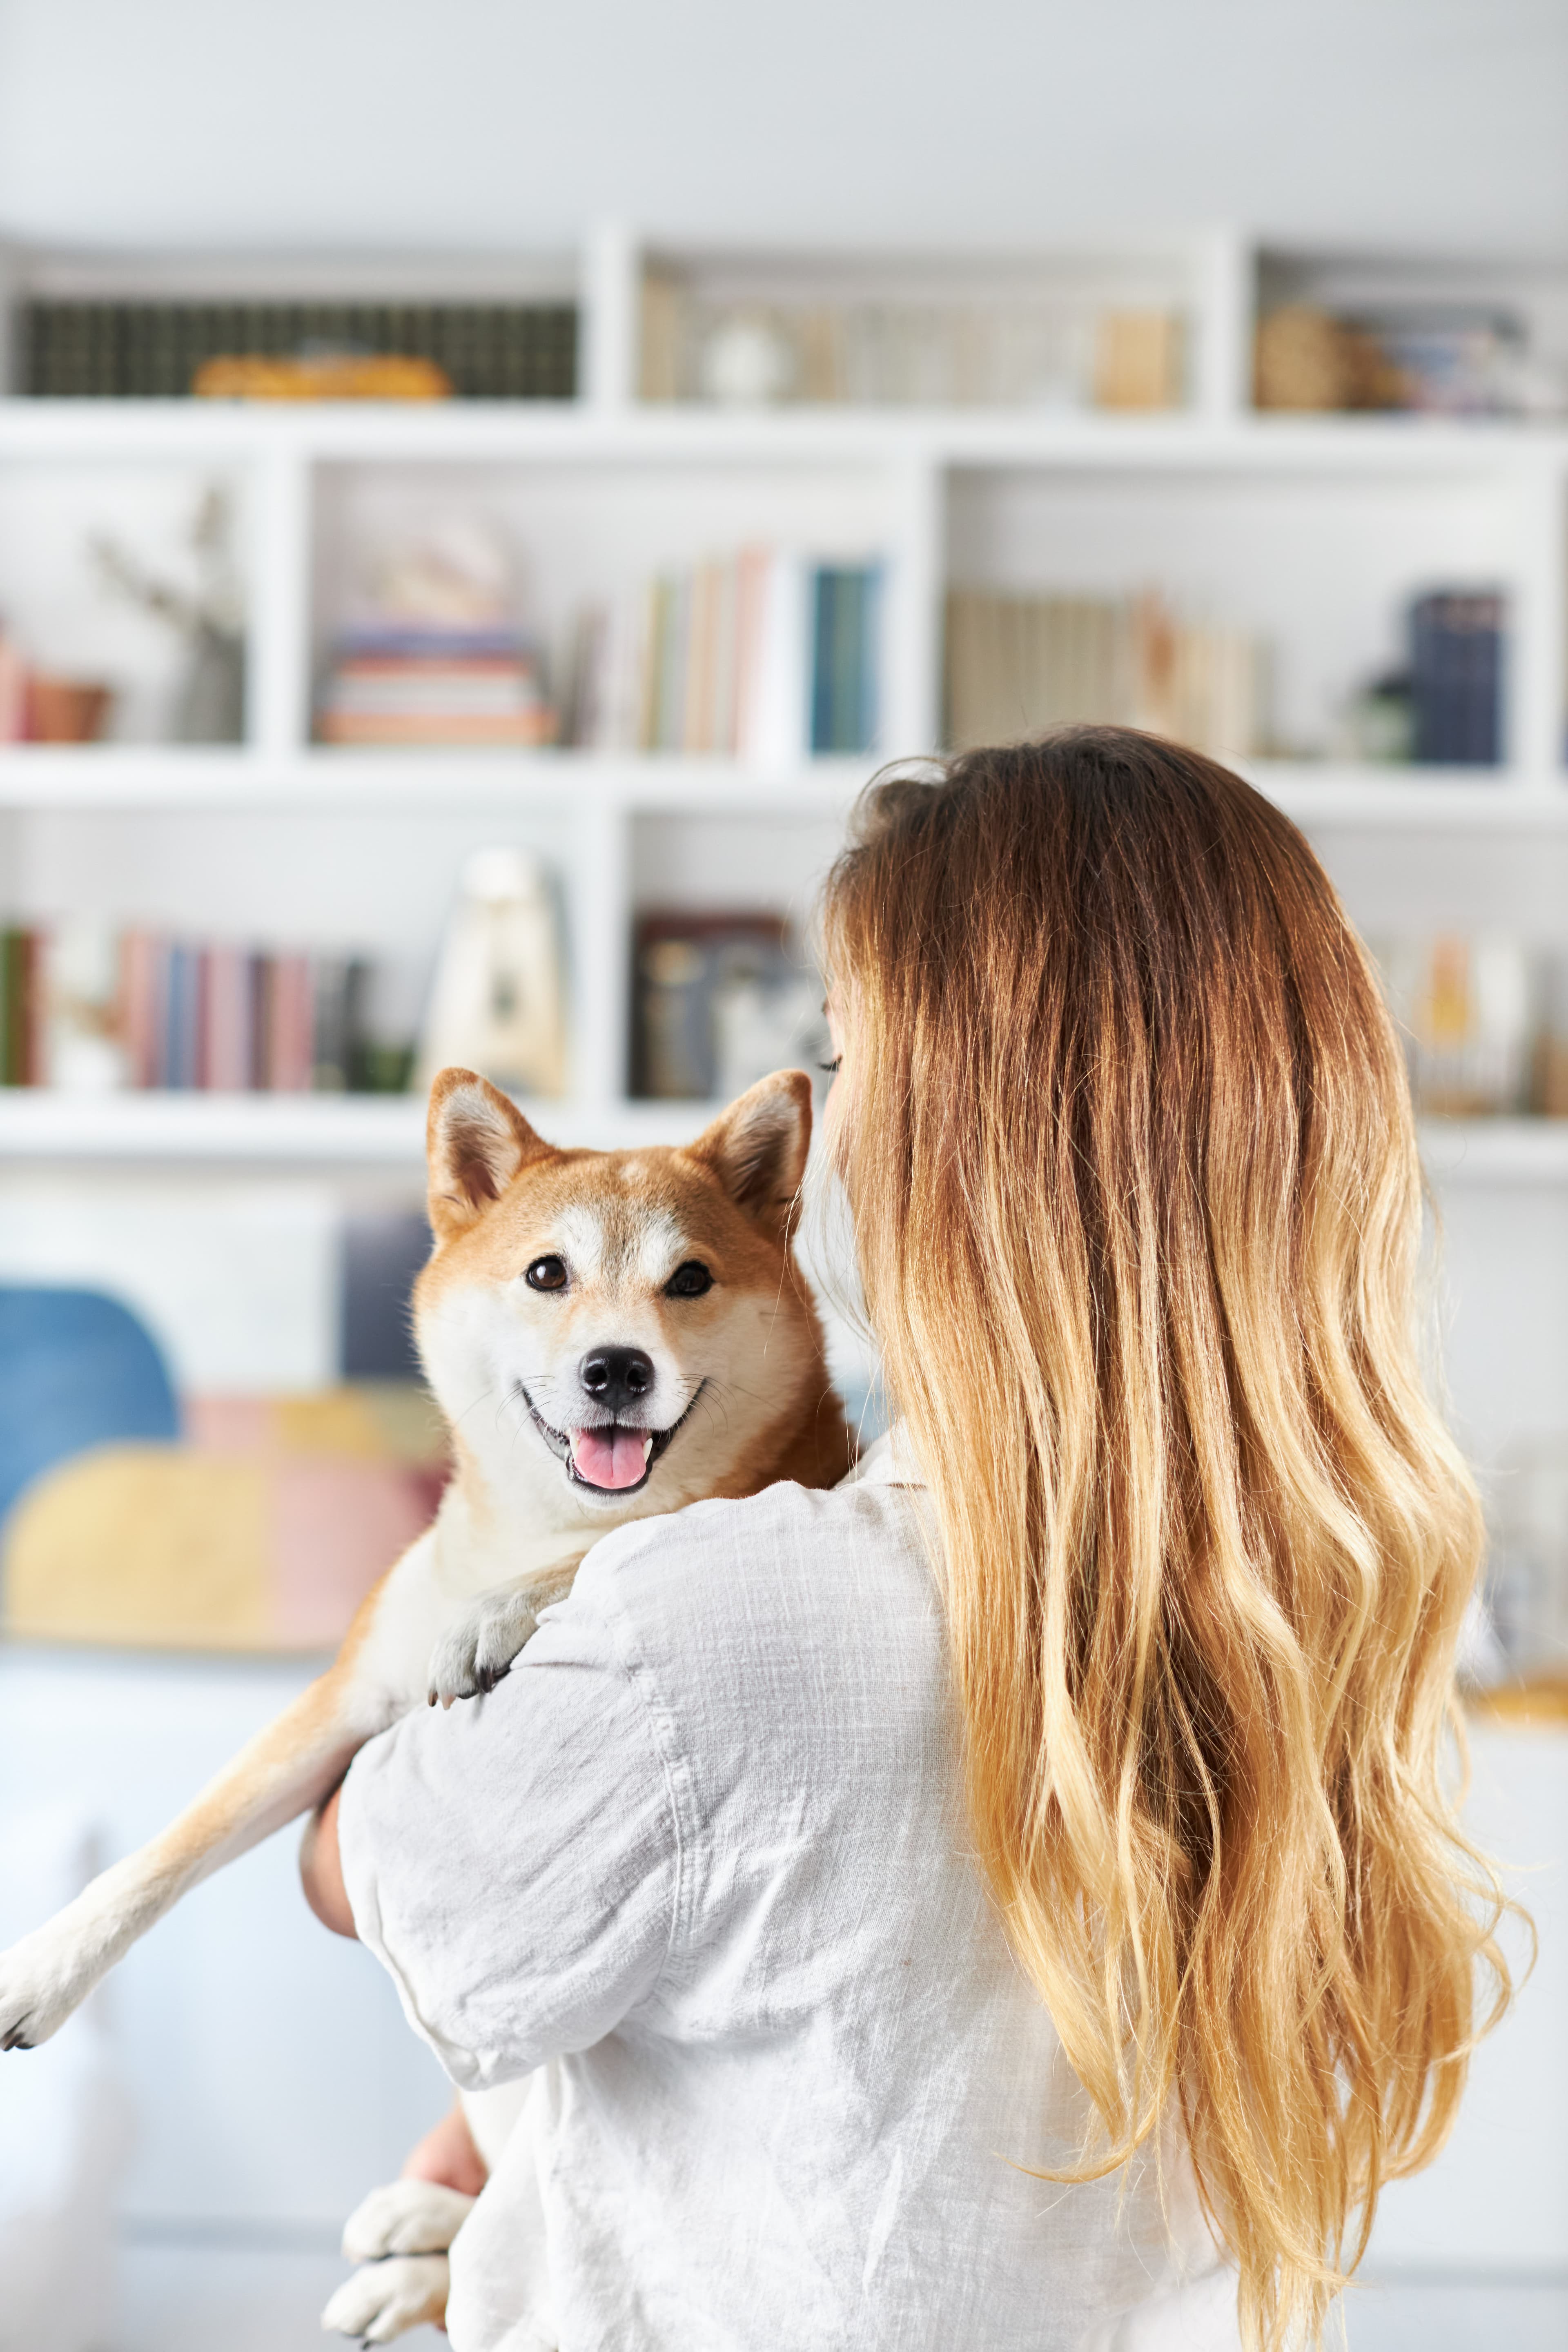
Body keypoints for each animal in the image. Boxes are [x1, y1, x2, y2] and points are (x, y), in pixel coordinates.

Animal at [0, 1063, 851, 2333]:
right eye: (547, 1273)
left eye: (690, 1279)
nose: (616, 1367)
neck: (534, 1526)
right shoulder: (347, 1701)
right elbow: (164, 1852)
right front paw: (39, 1970)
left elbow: (610, 1553)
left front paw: (502, 1615)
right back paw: (418, 2227)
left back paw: (417, 2274)